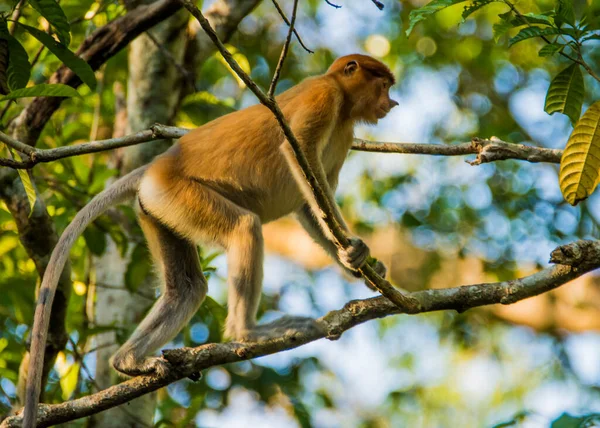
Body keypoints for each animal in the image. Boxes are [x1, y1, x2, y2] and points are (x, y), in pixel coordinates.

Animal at [22, 54, 398, 428]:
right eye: (383, 85)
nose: (391, 103)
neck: (343, 103)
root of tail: (155, 166)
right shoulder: (323, 98)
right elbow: (299, 155)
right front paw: (355, 251)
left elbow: (309, 205)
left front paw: (359, 262)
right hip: (178, 193)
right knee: (245, 227)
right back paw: (248, 332)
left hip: (158, 207)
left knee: (188, 288)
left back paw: (128, 361)